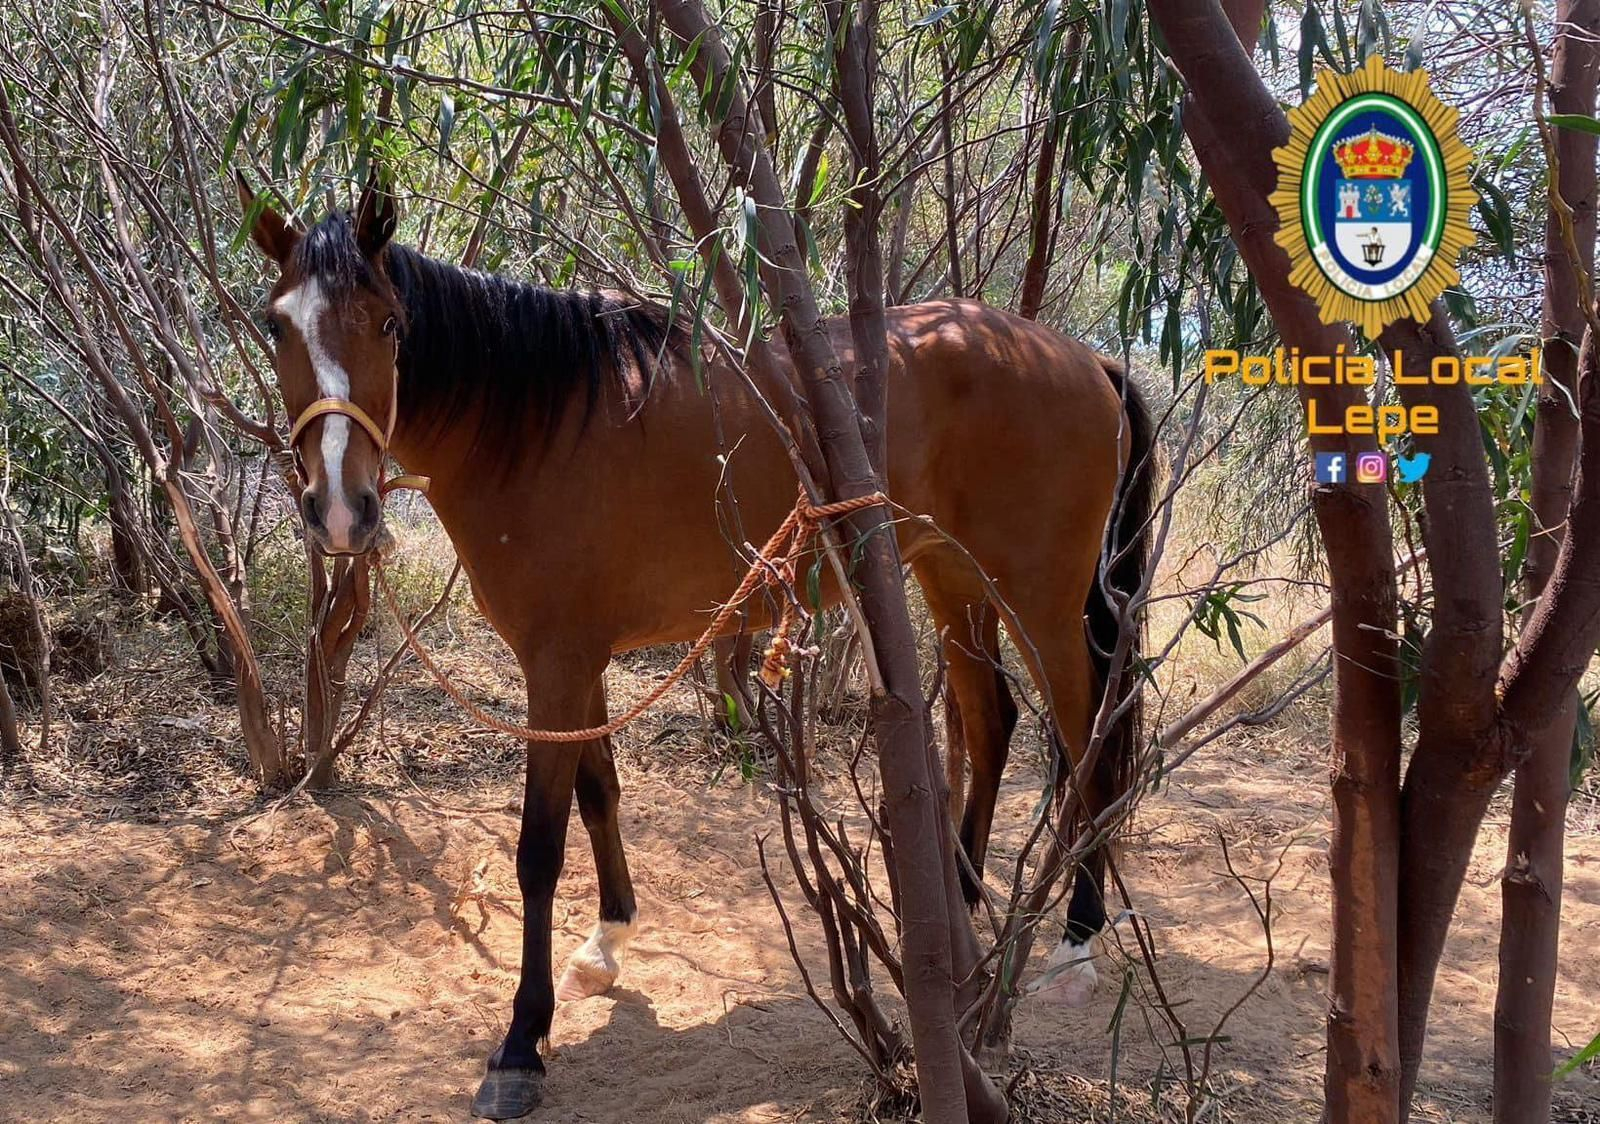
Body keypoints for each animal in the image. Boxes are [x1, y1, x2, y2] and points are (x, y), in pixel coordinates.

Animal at [239, 179, 1154, 1120]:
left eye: (388, 322)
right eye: (277, 325)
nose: (338, 508)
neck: (533, 427)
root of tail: (1084, 359)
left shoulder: (556, 665)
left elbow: (539, 848)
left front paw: (522, 1042)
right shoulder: (577, 660)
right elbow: (599, 794)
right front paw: (606, 942)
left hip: (1039, 598)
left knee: (1089, 736)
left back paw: (1074, 945)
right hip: (951, 575)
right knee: (992, 715)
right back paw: (964, 905)